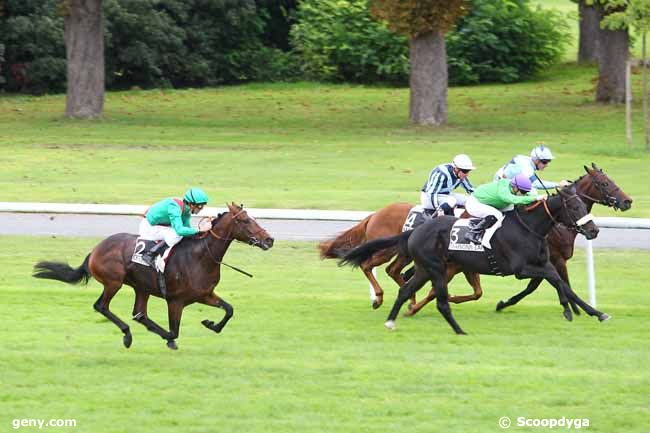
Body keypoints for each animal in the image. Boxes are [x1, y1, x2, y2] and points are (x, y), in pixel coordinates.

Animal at [32, 204, 274, 350]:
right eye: (245, 221)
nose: (269, 239)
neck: (201, 255)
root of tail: (95, 250)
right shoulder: (175, 300)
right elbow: (174, 330)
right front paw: (170, 339)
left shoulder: (204, 294)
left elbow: (229, 309)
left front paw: (210, 323)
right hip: (114, 282)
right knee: (102, 306)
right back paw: (127, 336)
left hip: (142, 287)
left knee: (139, 314)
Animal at [340, 184, 604, 332]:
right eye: (575, 207)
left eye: (584, 205)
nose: (593, 231)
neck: (529, 227)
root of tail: (415, 230)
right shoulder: (521, 268)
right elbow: (555, 280)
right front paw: (568, 310)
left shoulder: (543, 263)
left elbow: (564, 285)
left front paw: (594, 312)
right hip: (430, 266)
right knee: (382, 270)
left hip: (427, 268)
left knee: (404, 285)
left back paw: (400, 313)